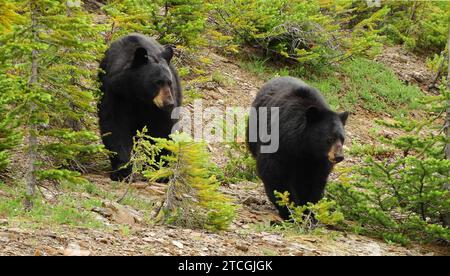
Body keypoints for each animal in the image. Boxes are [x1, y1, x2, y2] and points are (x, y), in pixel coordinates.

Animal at [99, 33, 182, 181]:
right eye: (158, 82)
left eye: (169, 82)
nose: (169, 103)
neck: (138, 95)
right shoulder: (115, 92)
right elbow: (114, 125)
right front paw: (122, 170)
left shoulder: (159, 109)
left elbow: (163, 129)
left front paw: (159, 170)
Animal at [248, 76, 350, 219]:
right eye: (329, 138)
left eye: (342, 139)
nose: (339, 156)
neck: (305, 148)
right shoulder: (280, 143)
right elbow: (274, 173)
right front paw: (290, 210)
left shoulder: (319, 160)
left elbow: (315, 180)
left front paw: (308, 211)